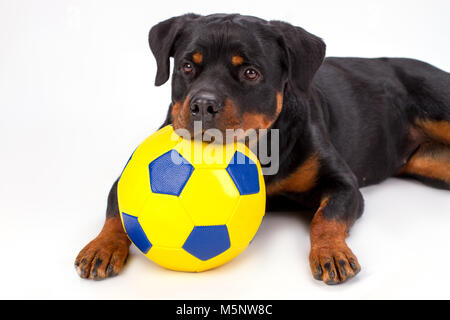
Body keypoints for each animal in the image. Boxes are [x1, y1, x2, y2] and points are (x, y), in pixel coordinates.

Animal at [74, 13, 450, 284]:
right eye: (187, 66)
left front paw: (331, 252)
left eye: (251, 73)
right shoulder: (128, 174)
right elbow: (116, 211)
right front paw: (102, 246)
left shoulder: (344, 184)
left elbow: (326, 217)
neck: (261, 149)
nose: (203, 105)